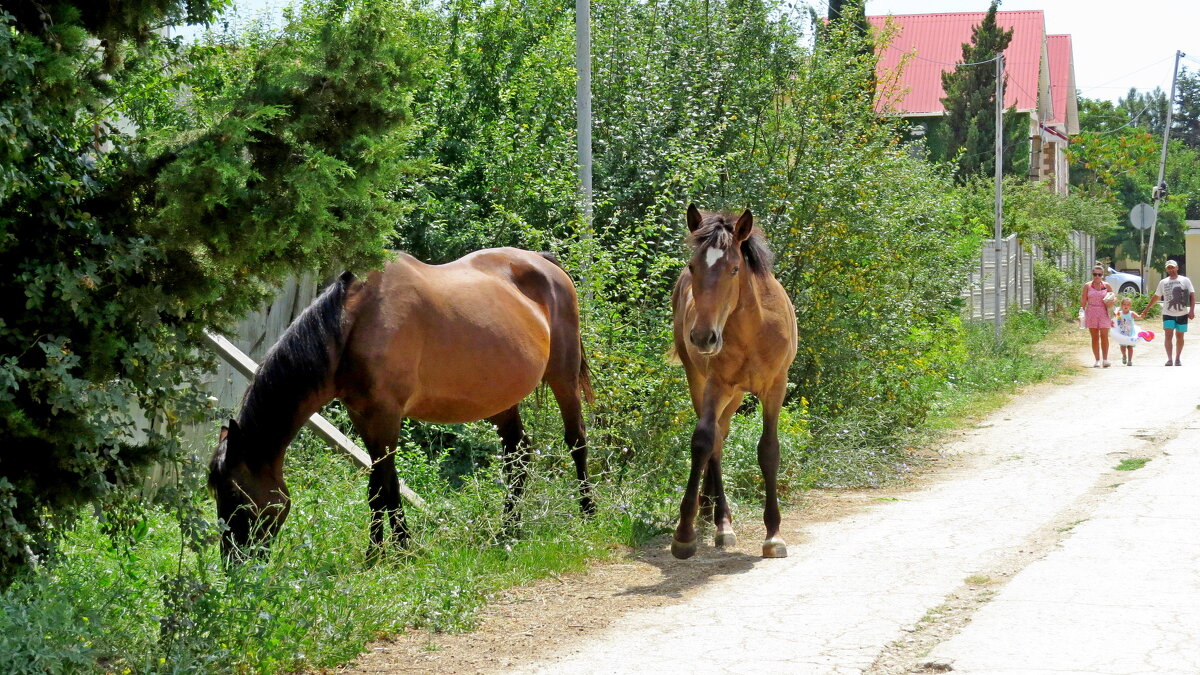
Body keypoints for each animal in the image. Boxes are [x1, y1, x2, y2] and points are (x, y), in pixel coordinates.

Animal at [213, 247, 597, 557]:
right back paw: (509, 528)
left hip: (563, 378)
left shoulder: (386, 416)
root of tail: (544, 262)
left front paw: (397, 550)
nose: (234, 562)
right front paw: (379, 551)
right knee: (517, 454)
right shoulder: (365, 416)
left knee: (576, 440)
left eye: (234, 495)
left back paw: (588, 512)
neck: (353, 325)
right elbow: (380, 486)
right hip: (502, 398)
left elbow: (386, 486)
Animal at [667, 204, 796, 557]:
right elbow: (702, 441)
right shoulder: (716, 384)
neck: (754, 330)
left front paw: (773, 533)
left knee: (722, 435)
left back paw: (713, 512)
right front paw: (684, 533)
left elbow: (769, 450)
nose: (703, 336)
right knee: (716, 441)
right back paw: (719, 519)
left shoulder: (775, 388)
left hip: (736, 396)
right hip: (703, 382)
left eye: (735, 269)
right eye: (693, 266)